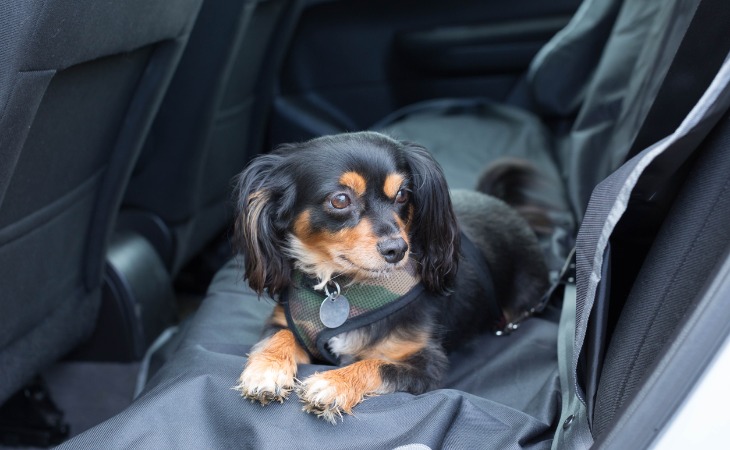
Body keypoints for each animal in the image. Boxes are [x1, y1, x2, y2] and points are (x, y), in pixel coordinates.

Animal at [232, 129, 544, 422]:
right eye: (340, 199)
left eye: (403, 194)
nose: (397, 249)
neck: (343, 286)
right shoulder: (281, 321)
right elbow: (280, 335)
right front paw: (267, 370)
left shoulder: (426, 365)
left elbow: (375, 364)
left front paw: (333, 383)